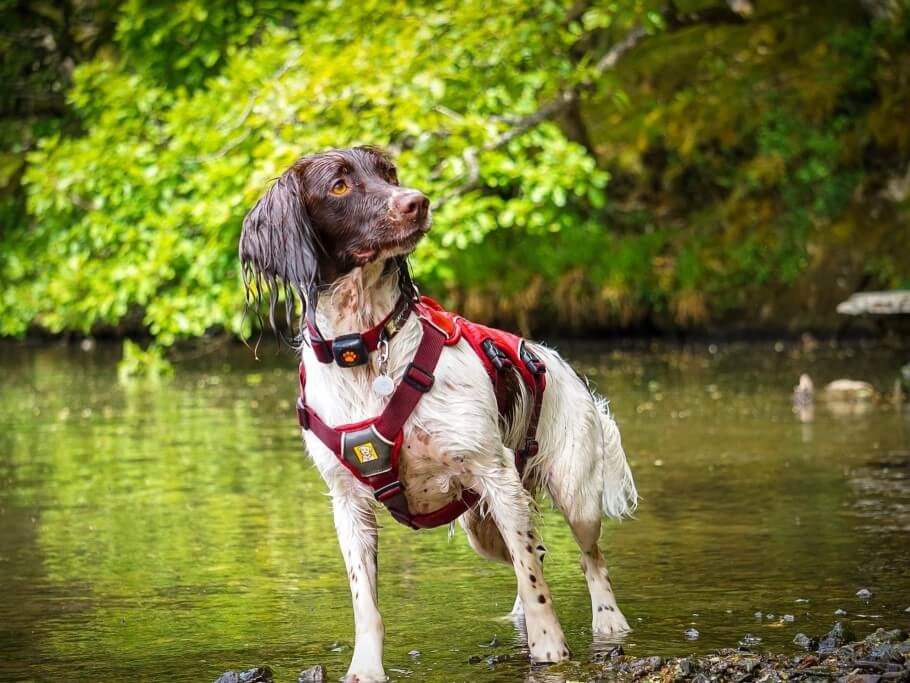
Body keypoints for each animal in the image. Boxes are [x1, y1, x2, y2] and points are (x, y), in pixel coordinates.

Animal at [242, 147, 640, 680]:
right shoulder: (348, 502)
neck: (364, 347)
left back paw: (609, 621)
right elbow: (365, 603)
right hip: (482, 528)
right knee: (533, 550)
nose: (417, 201)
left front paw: (550, 650)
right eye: (340, 186)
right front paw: (364, 668)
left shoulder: (494, 473)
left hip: (574, 496)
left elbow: (537, 583)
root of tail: (559, 362)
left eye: (389, 173)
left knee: (587, 557)